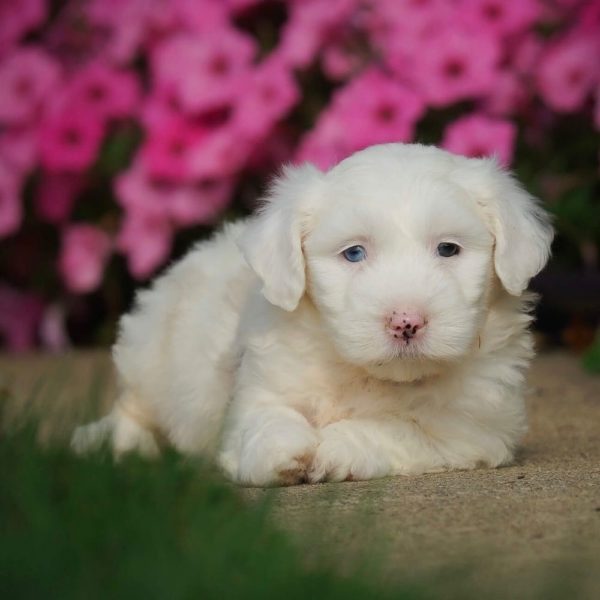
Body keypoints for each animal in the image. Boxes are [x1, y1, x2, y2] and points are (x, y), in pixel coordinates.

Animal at [71, 143, 552, 486]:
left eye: (448, 249)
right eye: (354, 253)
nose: (406, 321)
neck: (367, 375)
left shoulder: (472, 429)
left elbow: (400, 428)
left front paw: (336, 448)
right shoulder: (260, 385)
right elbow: (266, 418)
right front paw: (282, 449)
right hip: (151, 349)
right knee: (134, 408)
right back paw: (108, 443)